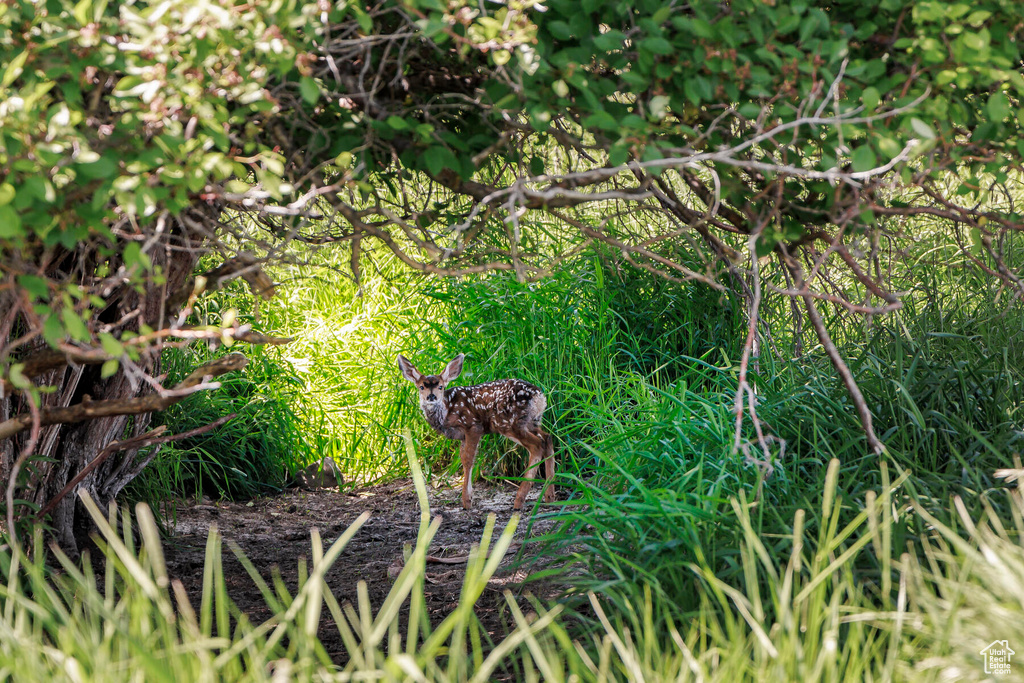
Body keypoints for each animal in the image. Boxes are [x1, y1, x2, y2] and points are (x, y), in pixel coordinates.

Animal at [397, 356, 557, 509]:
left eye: (441, 387)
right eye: (421, 387)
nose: (431, 397)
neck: (446, 412)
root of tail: (539, 397)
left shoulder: (473, 426)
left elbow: (468, 460)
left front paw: (467, 501)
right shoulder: (462, 436)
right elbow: (463, 458)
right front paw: (468, 498)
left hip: (509, 423)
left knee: (537, 445)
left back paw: (519, 501)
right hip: (532, 421)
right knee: (547, 438)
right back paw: (549, 497)